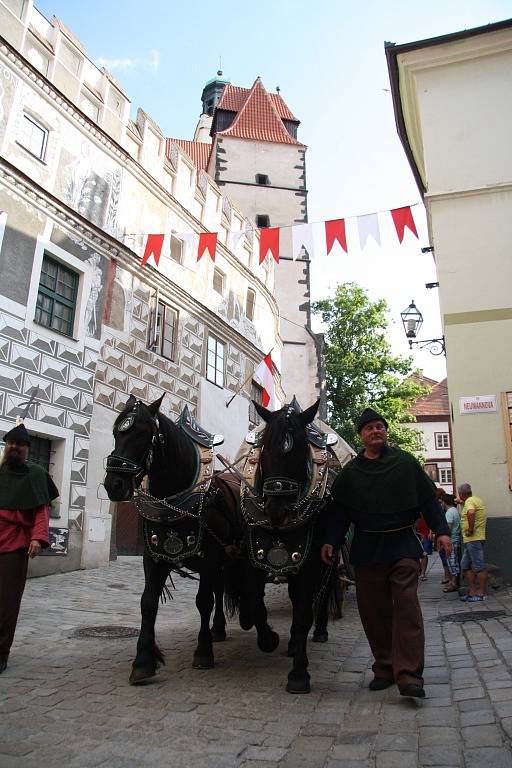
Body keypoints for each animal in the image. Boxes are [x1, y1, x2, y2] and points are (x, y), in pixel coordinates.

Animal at [105, 396, 280, 684]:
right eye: (116, 433)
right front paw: (143, 661)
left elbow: (203, 601)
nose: (114, 484)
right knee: (224, 589)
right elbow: (148, 602)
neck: (177, 502)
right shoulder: (153, 557)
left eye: (142, 434)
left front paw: (203, 652)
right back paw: (220, 628)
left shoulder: (209, 558)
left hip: (244, 556)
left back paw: (261, 630)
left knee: (253, 589)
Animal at [242, 400, 342, 692]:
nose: (278, 512)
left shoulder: (309, 563)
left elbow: (303, 613)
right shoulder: (254, 557)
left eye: (299, 451)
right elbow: (255, 602)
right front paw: (269, 640)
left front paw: (299, 674)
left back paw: (318, 632)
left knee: (322, 593)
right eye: (265, 449)